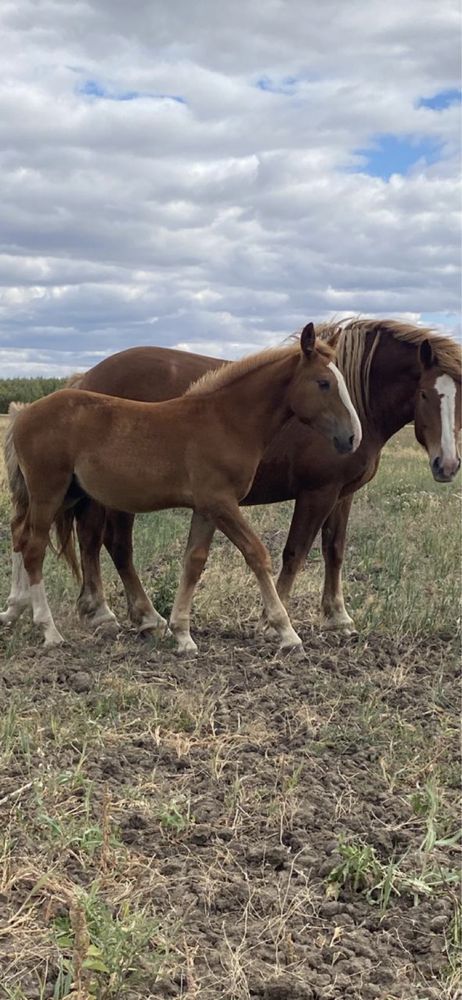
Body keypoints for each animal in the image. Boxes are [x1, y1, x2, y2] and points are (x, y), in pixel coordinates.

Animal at [0, 320, 360, 648]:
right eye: (324, 383)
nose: (352, 438)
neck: (226, 421)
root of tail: (25, 412)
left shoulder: (206, 508)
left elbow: (194, 561)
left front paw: (183, 635)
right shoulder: (221, 502)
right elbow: (257, 554)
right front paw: (285, 632)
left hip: (68, 493)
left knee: (21, 535)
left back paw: (17, 611)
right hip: (49, 491)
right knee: (34, 548)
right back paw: (50, 631)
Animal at [53, 316, 458, 636]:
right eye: (425, 394)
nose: (448, 465)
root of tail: (85, 378)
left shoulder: (343, 493)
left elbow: (335, 550)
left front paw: (337, 616)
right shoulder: (317, 492)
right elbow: (295, 551)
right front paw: (272, 620)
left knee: (93, 540)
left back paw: (105, 610)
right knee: (113, 543)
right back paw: (133, 614)